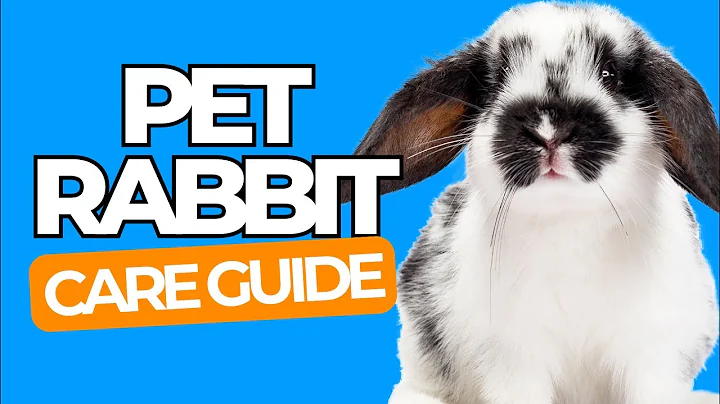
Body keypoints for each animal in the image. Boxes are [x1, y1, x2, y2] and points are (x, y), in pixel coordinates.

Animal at [340, 2, 720, 404]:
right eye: (496, 80)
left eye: (610, 74)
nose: (548, 130)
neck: (569, 223)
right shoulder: (513, 360)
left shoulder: (655, 352)